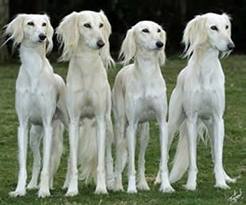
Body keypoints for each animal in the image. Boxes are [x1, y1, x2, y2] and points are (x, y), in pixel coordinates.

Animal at [5, 14, 66, 197]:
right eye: (30, 23)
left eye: (44, 24)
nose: (42, 36)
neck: (33, 69)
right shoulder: (23, 125)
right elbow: (25, 164)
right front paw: (20, 190)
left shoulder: (47, 124)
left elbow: (47, 164)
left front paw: (44, 190)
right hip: (34, 134)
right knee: (38, 161)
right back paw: (32, 185)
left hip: (59, 130)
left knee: (56, 160)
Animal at [57, 10, 115, 196]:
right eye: (87, 25)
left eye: (101, 25)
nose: (101, 43)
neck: (87, 65)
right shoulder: (74, 121)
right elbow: (73, 161)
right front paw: (72, 189)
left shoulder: (100, 120)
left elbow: (102, 162)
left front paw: (102, 188)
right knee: (70, 159)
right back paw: (67, 183)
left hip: (108, 125)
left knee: (108, 156)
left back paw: (112, 183)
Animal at [112, 21, 174, 193]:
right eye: (145, 30)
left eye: (158, 31)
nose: (160, 44)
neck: (146, 73)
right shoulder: (131, 125)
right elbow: (130, 163)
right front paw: (131, 188)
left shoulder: (162, 123)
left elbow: (163, 161)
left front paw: (166, 186)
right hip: (121, 126)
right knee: (119, 155)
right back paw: (118, 185)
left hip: (144, 130)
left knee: (140, 158)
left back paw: (143, 183)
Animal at [157, 12, 235, 190]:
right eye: (213, 27)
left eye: (226, 27)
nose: (231, 46)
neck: (206, 69)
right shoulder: (191, 120)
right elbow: (192, 160)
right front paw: (191, 185)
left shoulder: (218, 119)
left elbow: (218, 157)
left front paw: (221, 183)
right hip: (173, 123)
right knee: (165, 152)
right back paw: (159, 179)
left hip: (212, 125)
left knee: (215, 153)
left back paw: (226, 177)